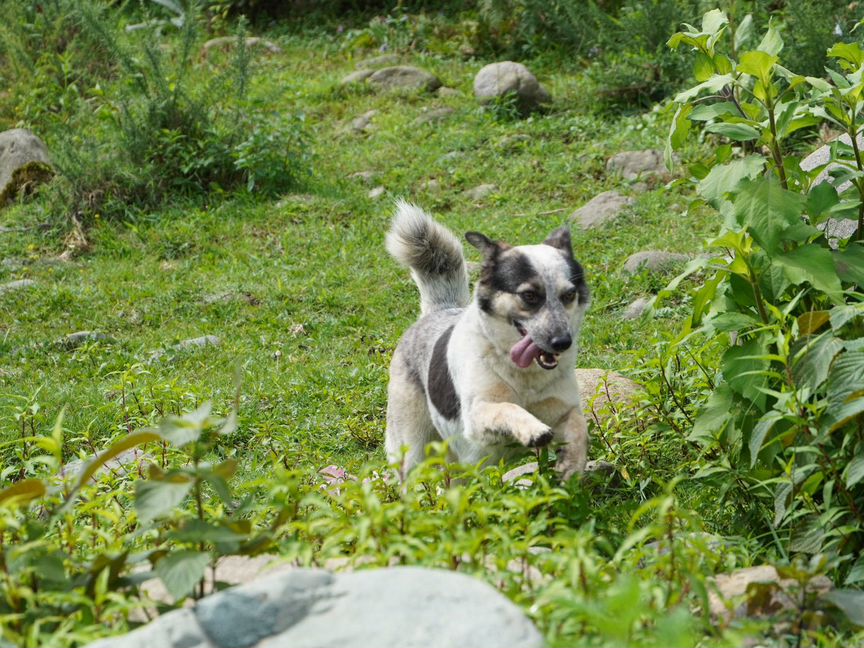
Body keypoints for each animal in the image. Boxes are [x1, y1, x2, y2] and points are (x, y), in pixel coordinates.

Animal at [386, 202, 592, 480]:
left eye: (569, 295)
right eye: (529, 296)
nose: (562, 342)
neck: (525, 375)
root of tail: (438, 310)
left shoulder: (562, 409)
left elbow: (580, 427)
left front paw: (571, 465)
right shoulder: (476, 416)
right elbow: (507, 408)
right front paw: (533, 430)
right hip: (413, 450)